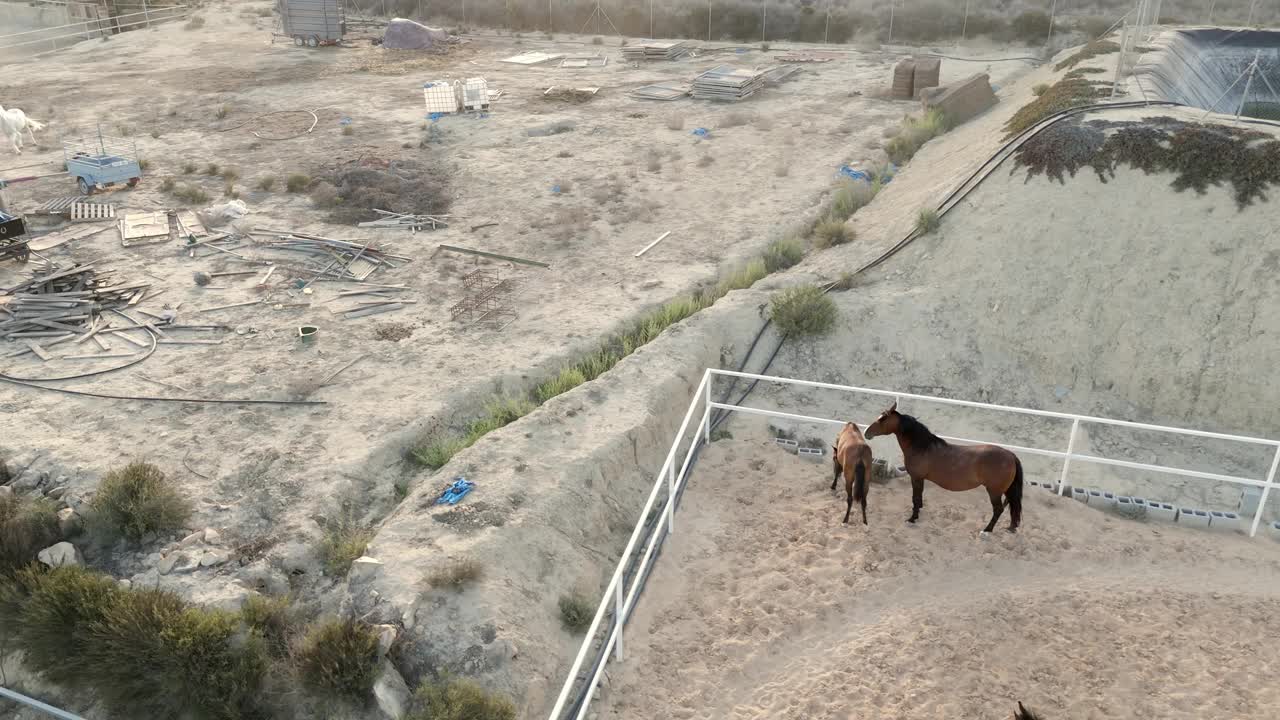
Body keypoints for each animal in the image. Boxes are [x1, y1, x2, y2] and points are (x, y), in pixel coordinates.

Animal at [865, 399, 1024, 530]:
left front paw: (912, 518)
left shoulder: (916, 478)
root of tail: (1010, 456)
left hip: (994, 491)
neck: (922, 447)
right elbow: (919, 497)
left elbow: (915, 498)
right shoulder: (920, 479)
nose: (867, 433)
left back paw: (986, 530)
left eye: (883, 418)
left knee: (998, 510)